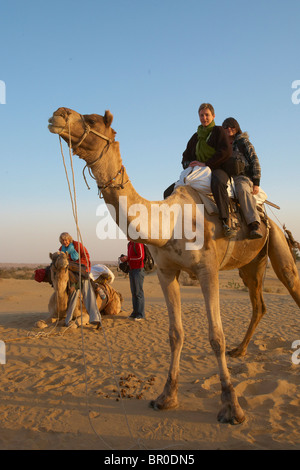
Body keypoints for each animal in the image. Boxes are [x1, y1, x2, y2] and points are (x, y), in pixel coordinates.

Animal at [48, 108, 298, 424]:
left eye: (92, 120)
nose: (58, 114)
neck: (169, 222)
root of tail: (266, 215)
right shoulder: (167, 272)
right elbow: (175, 334)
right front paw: (166, 397)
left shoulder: (207, 271)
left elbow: (216, 336)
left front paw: (232, 407)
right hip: (250, 265)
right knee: (258, 303)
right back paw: (240, 350)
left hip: (276, 241)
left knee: (291, 282)